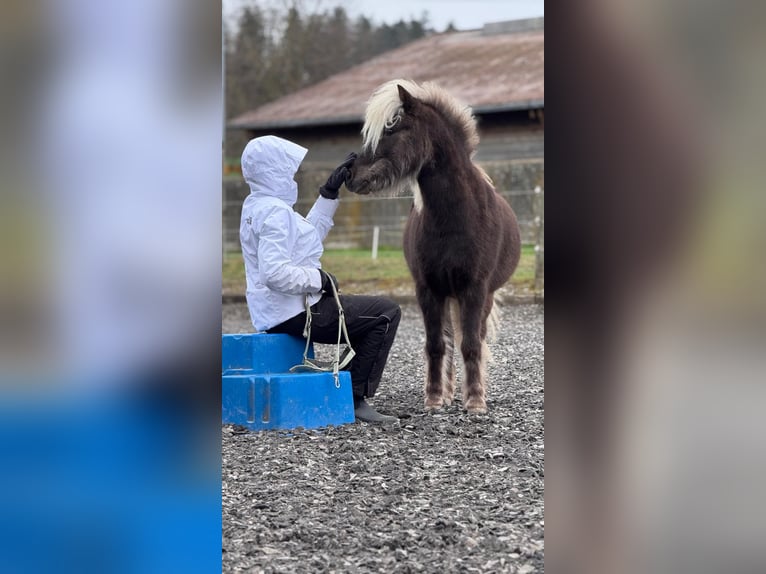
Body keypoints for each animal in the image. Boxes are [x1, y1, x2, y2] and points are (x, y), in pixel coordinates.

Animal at [346, 79, 521, 413]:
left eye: (392, 129)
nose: (350, 175)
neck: (455, 218)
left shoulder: (474, 289)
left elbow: (471, 344)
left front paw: (475, 402)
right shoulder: (428, 290)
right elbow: (436, 344)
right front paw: (435, 398)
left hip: (481, 297)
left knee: (474, 337)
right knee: (449, 339)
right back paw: (450, 392)